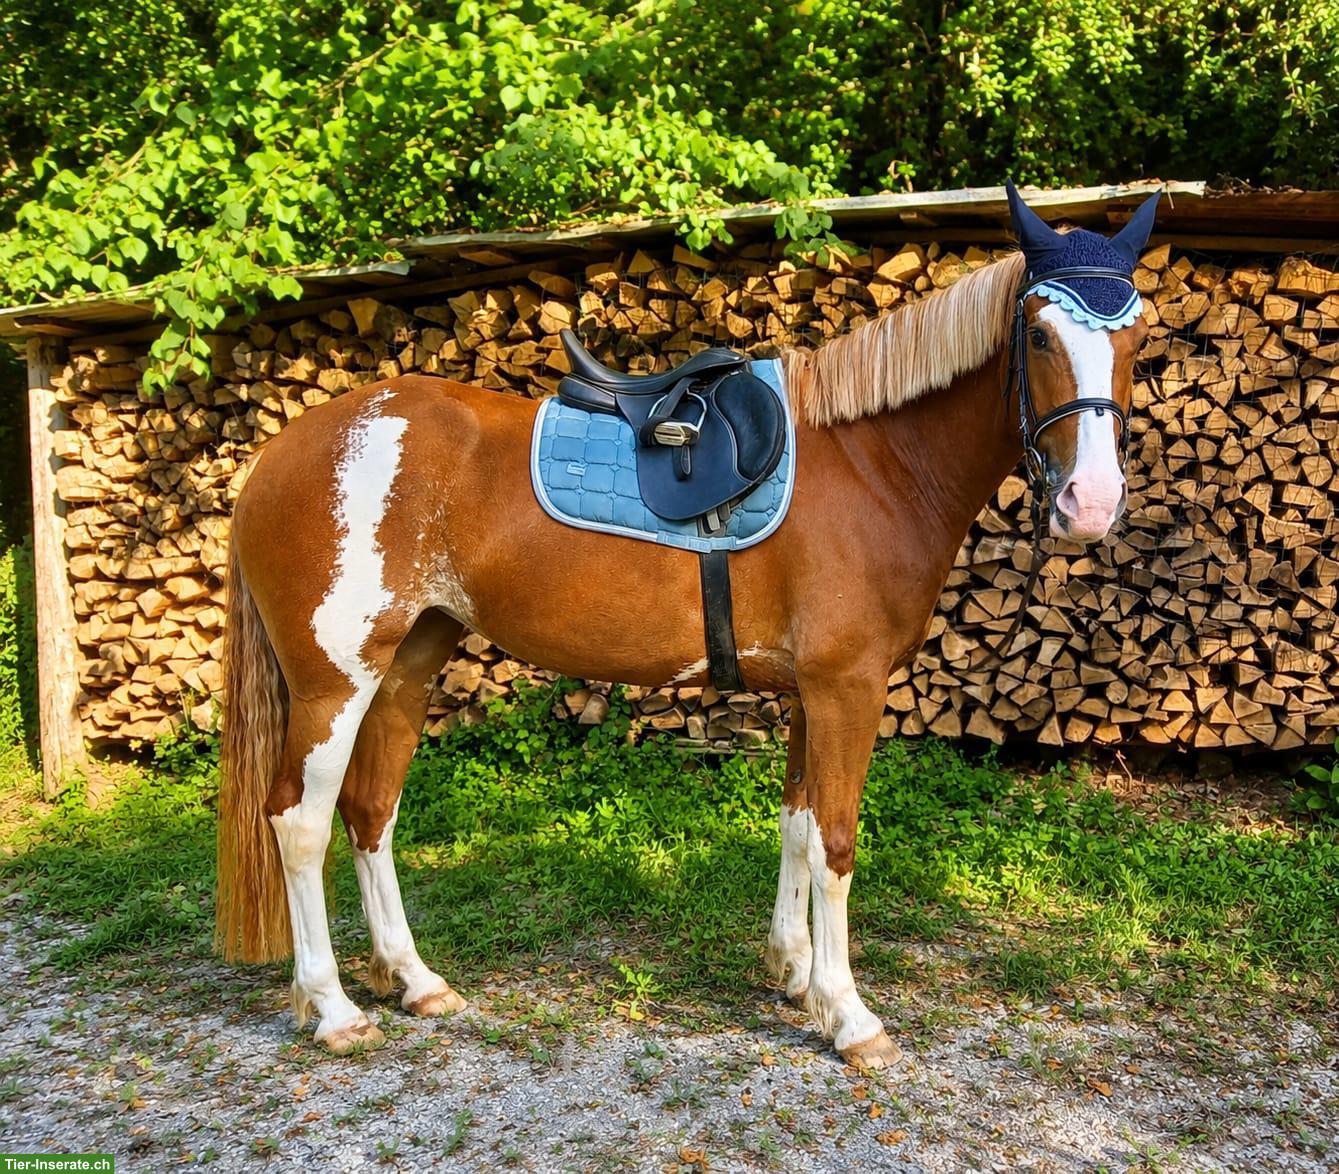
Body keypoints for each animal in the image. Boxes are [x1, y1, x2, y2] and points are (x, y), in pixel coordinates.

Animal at [215, 187, 1161, 1067]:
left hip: (406, 664)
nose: (1090, 503)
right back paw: (334, 1009)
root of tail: (283, 451)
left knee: (371, 810)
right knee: (298, 821)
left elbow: (797, 824)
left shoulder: (811, 694)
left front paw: (793, 973)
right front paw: (849, 1016)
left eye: (1134, 336)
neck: (873, 462)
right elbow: (837, 842)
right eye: (1037, 334)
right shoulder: (846, 687)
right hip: (333, 682)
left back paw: (415, 981)